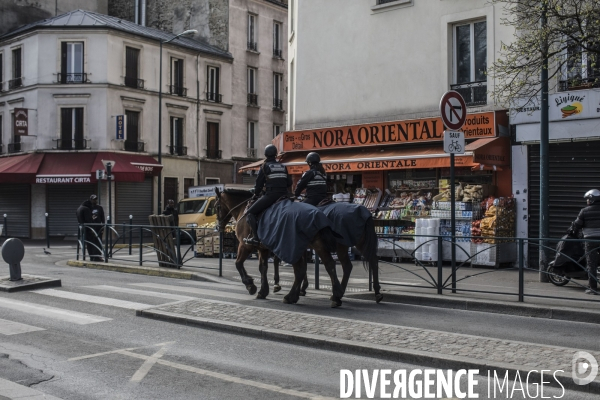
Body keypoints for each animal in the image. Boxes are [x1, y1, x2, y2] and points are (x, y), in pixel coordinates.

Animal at [216, 189, 346, 308]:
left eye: (216, 206)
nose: (218, 227)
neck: (244, 208)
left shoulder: (245, 245)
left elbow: (238, 264)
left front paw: (250, 285)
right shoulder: (263, 248)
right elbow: (263, 268)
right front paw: (263, 291)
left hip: (295, 246)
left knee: (301, 270)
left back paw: (291, 296)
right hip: (316, 244)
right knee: (329, 265)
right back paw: (336, 296)